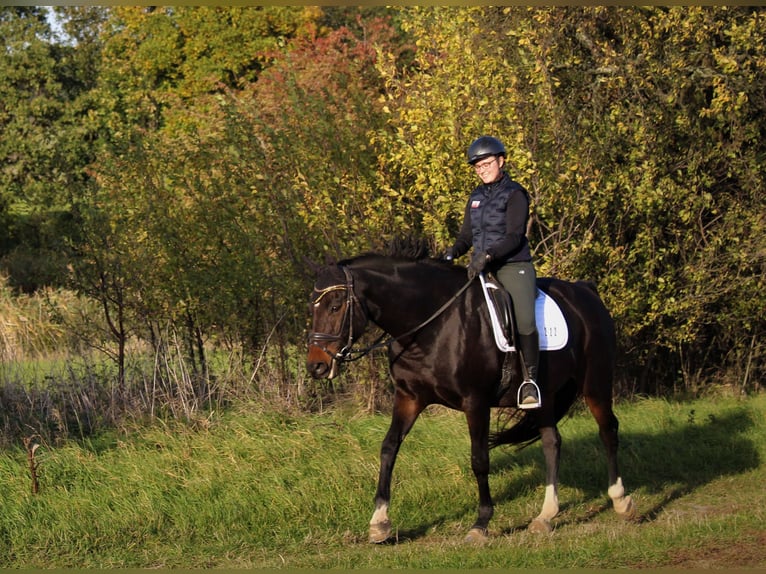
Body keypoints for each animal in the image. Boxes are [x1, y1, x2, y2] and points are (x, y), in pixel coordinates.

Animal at [306, 242, 636, 544]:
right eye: (313, 307)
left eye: (335, 305)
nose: (316, 366)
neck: (430, 324)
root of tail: (586, 292)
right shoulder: (409, 398)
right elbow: (389, 449)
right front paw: (379, 522)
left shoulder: (475, 402)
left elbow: (479, 459)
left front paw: (481, 523)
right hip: (544, 394)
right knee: (551, 442)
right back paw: (545, 515)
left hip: (595, 384)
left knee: (608, 431)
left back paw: (621, 501)